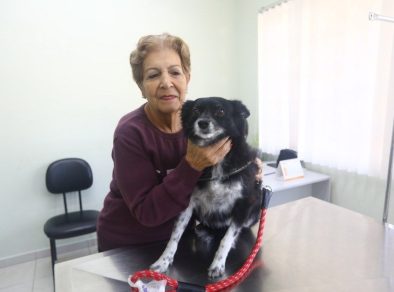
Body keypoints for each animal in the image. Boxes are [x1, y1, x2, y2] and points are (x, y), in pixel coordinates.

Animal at [151, 97, 262, 278]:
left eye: (221, 111)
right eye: (196, 110)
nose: (202, 123)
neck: (216, 163)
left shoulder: (244, 203)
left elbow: (226, 238)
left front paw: (218, 264)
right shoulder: (187, 204)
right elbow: (174, 236)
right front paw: (163, 261)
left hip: (256, 207)